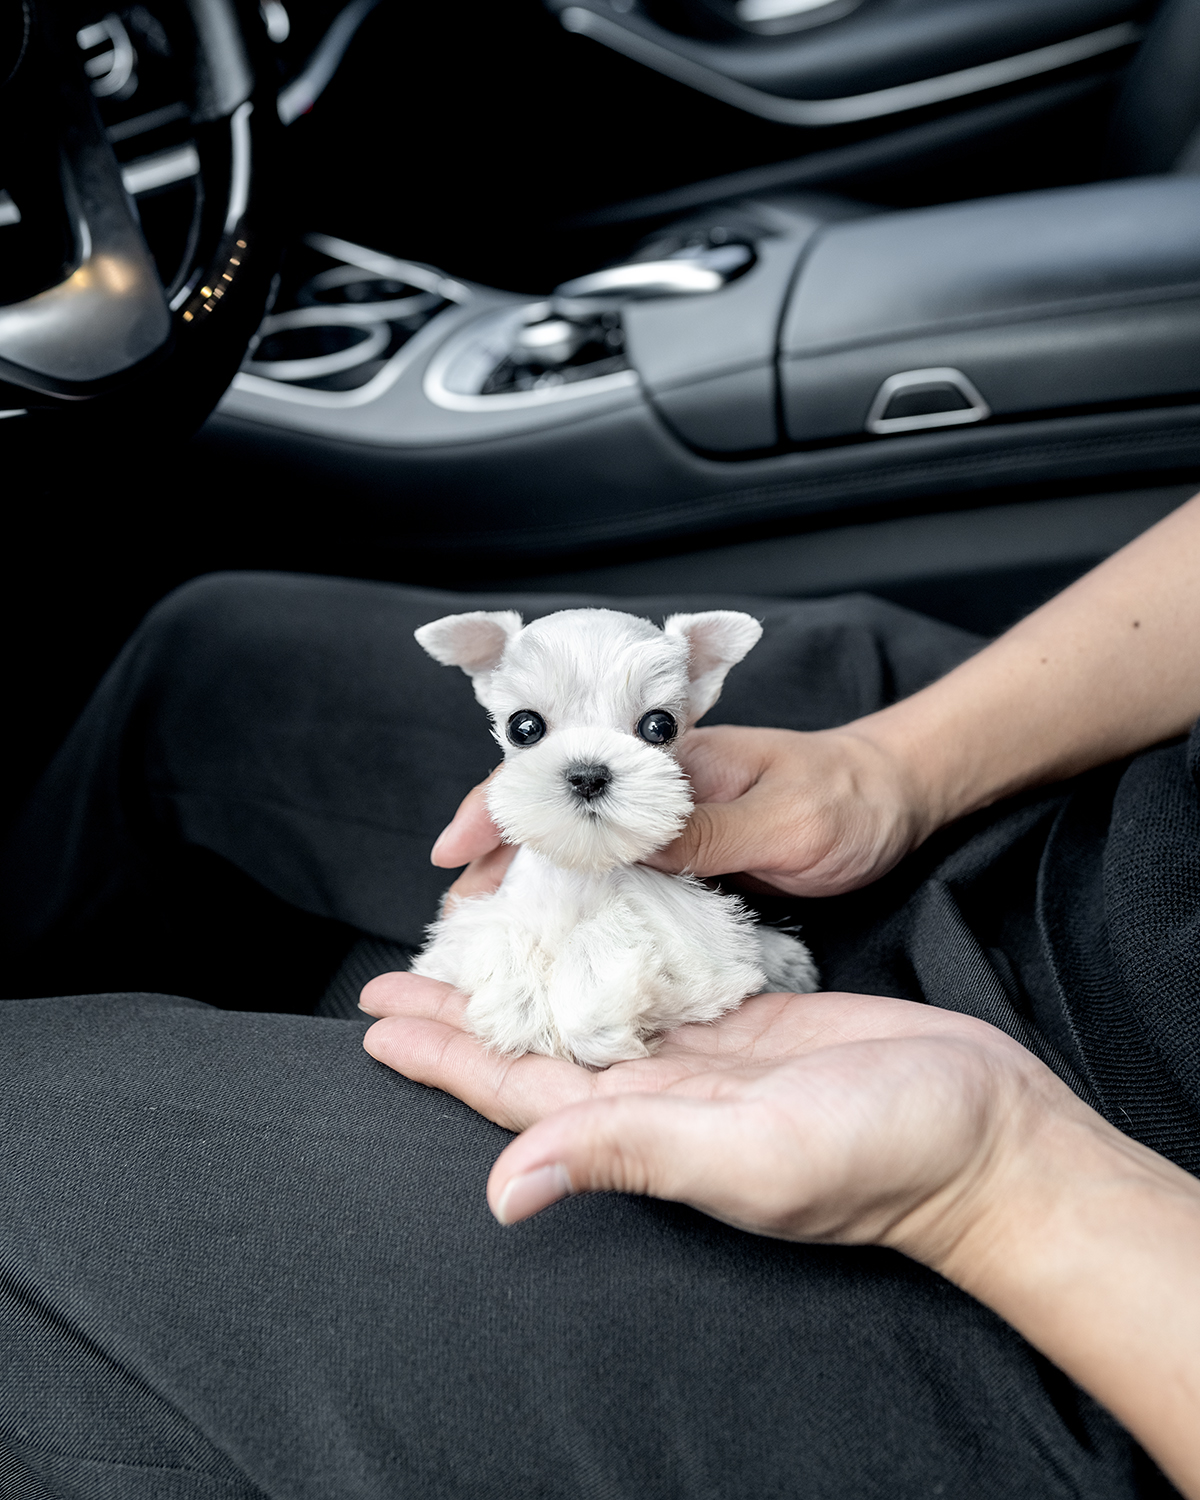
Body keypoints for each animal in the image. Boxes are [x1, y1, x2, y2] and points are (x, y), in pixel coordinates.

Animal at [411, 603, 816, 1074]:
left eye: (659, 726)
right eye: (523, 727)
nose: (588, 775)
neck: (583, 867)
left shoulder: (690, 934)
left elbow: (606, 934)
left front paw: (595, 1020)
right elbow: (499, 933)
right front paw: (520, 1005)